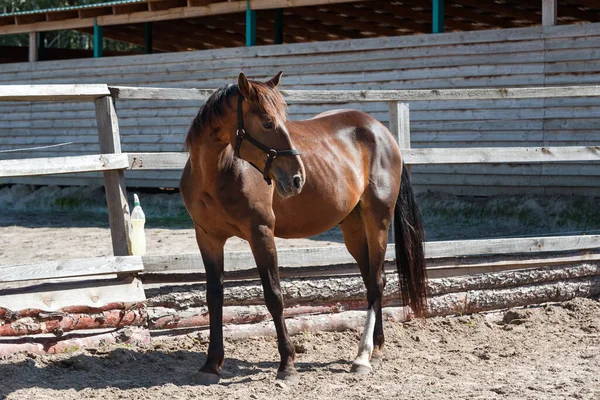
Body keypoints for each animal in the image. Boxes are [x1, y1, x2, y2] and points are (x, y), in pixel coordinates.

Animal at [179, 72, 426, 384]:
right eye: (267, 122)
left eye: (284, 119)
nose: (297, 178)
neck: (216, 174)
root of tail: (382, 133)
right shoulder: (207, 237)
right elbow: (214, 298)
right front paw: (211, 364)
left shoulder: (261, 233)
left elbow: (274, 296)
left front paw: (287, 364)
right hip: (354, 229)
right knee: (374, 278)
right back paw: (377, 347)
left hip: (378, 222)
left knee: (375, 285)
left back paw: (362, 356)